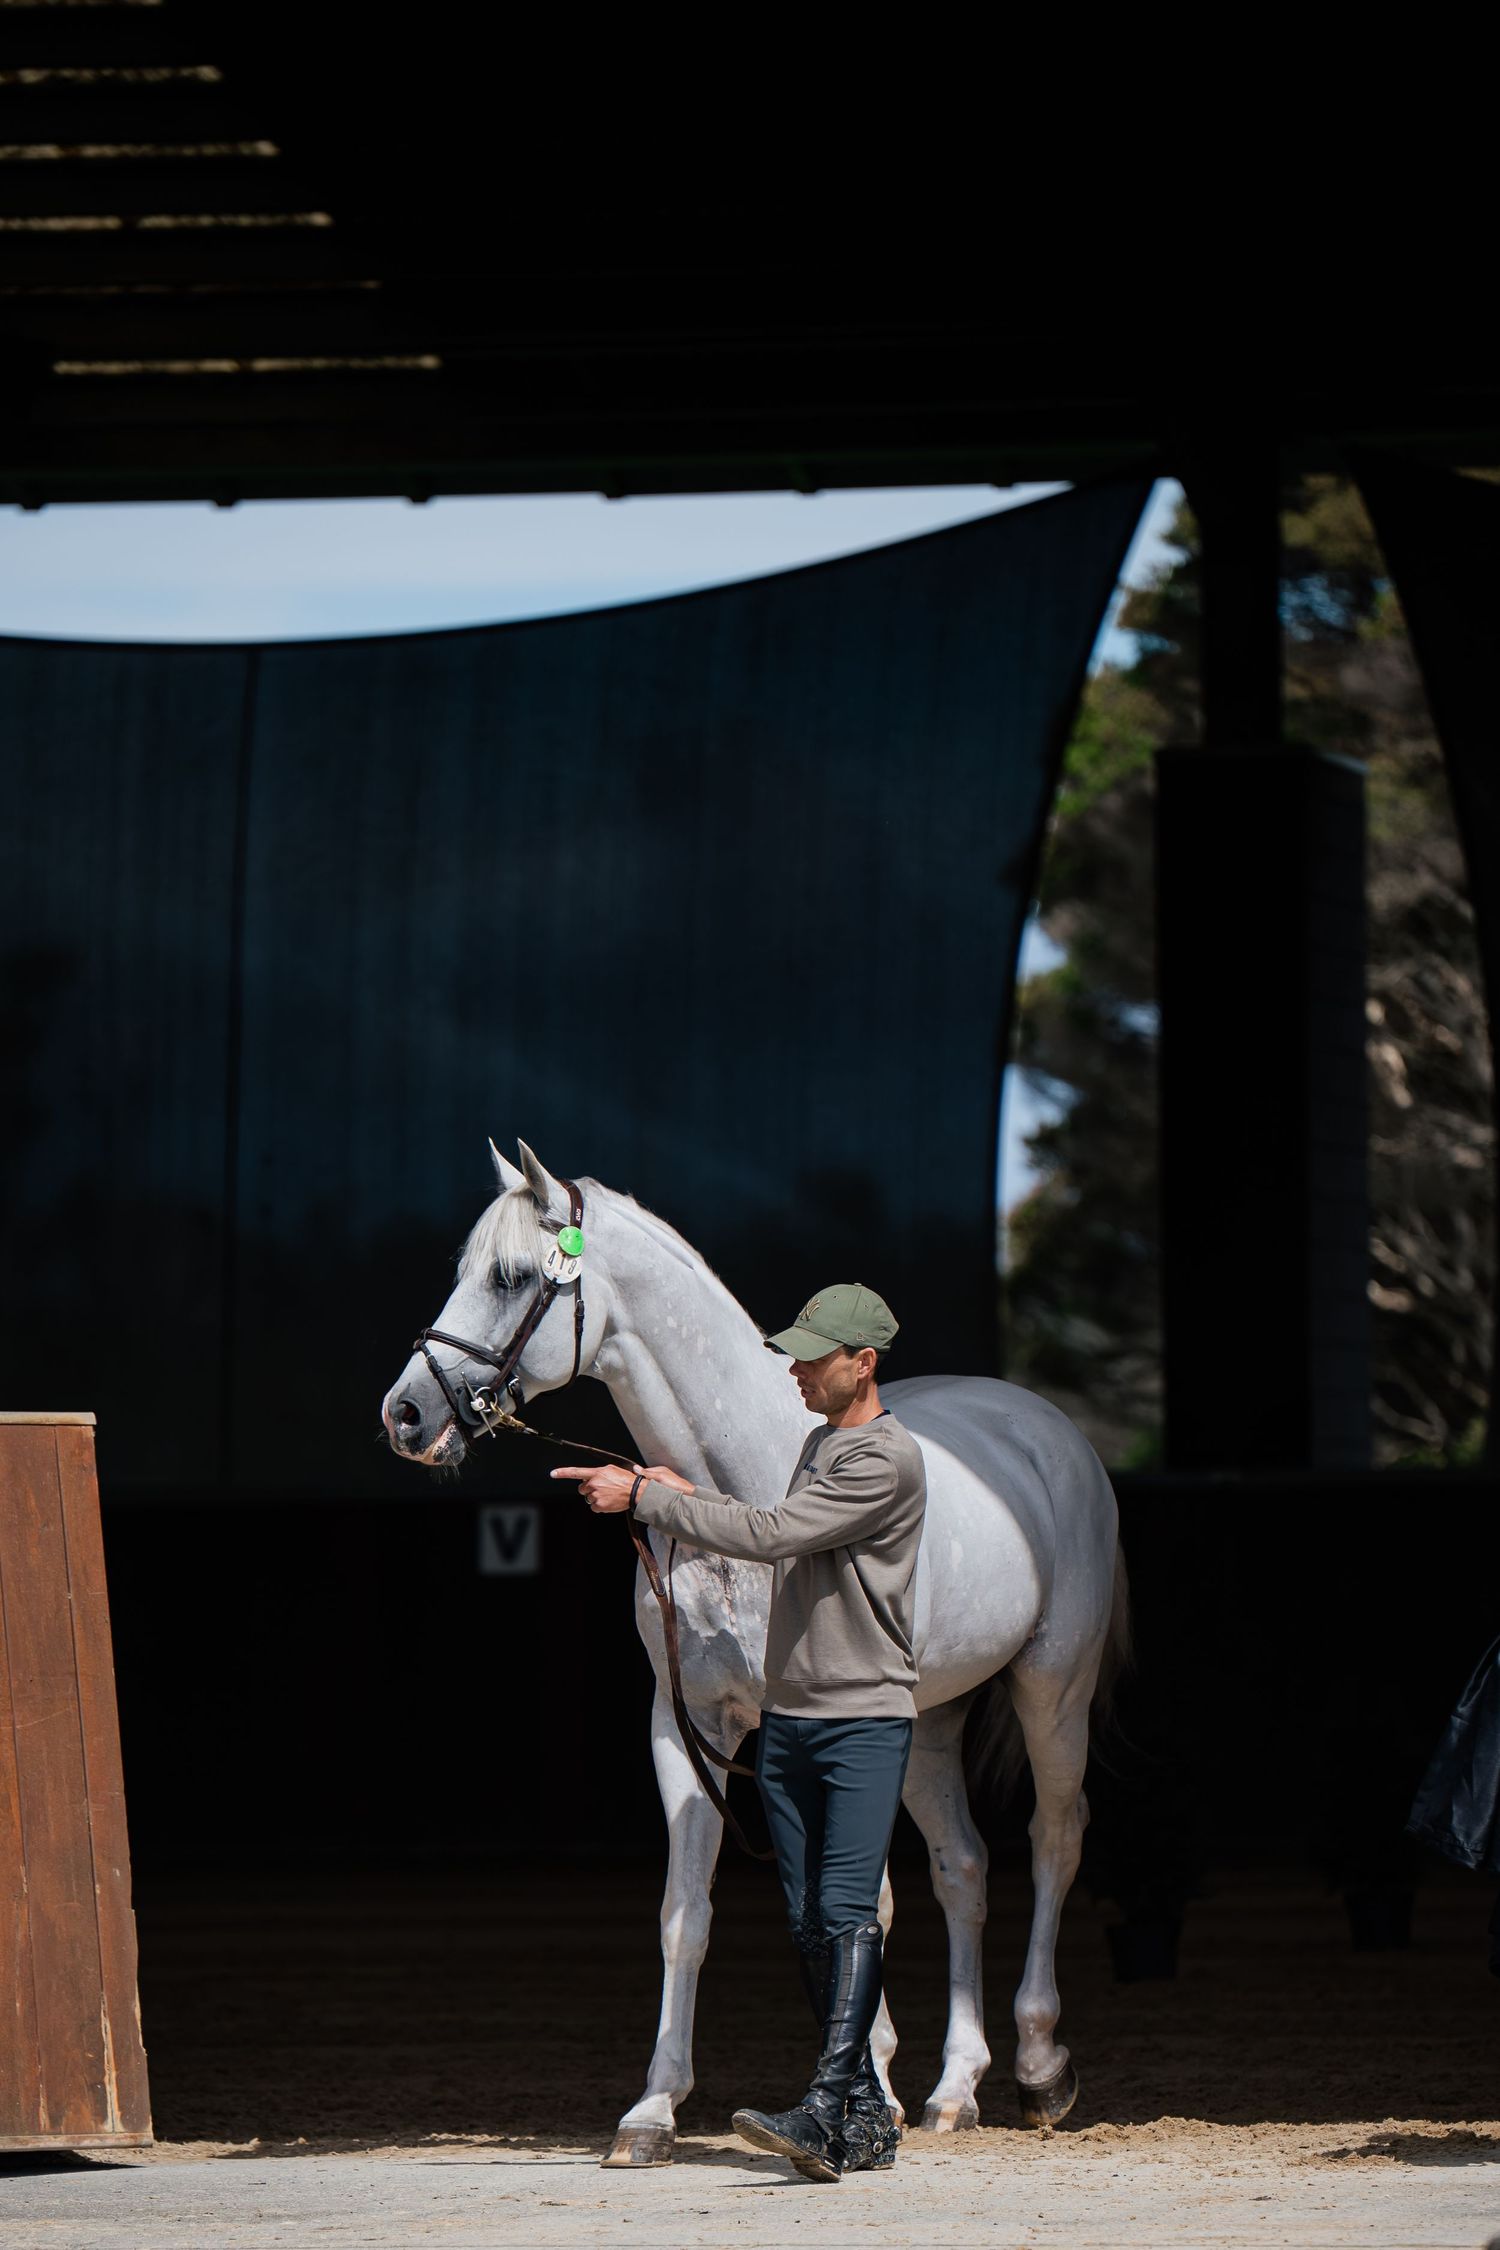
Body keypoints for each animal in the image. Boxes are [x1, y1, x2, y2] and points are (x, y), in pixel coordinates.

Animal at [382, 1141, 1127, 2168]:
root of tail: (1046, 1429)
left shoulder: (820, 1728)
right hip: (930, 1724)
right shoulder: (686, 1726)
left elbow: (856, 1903)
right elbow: (686, 1916)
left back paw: (1042, 2066)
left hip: (1051, 1688)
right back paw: (954, 2088)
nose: (406, 1416)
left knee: (1055, 1839)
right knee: (965, 1868)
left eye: (513, 1276)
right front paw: (653, 2111)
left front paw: (860, 2098)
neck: (748, 1488)